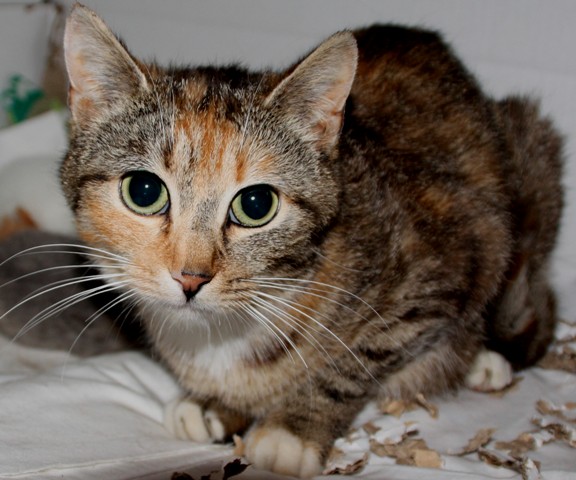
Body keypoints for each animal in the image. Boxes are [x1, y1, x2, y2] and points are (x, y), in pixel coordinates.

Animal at [58, 4, 563, 477]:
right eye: (144, 191)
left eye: (256, 204)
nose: (191, 278)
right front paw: (214, 404)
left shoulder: (436, 271)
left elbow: (358, 359)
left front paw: (294, 428)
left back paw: (486, 360)